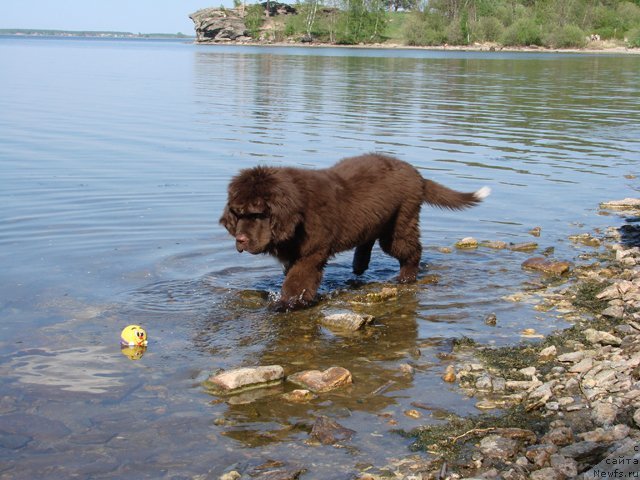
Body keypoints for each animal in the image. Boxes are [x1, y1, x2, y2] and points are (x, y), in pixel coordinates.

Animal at [220, 154, 490, 312]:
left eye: (257, 214)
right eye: (238, 213)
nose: (240, 240)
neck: (297, 215)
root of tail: (418, 175)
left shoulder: (311, 253)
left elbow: (298, 281)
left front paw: (287, 304)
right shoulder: (294, 254)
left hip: (399, 223)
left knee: (411, 250)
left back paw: (405, 277)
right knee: (368, 238)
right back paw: (360, 265)